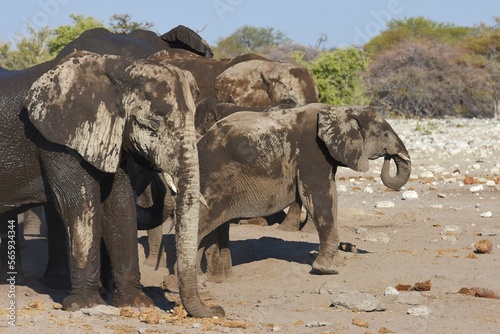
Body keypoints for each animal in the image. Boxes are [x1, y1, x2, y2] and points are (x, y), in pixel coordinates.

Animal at [0, 50, 223, 318]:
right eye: (151, 124)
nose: (218, 310)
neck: (116, 68)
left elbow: (120, 206)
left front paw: (137, 303)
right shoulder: (56, 141)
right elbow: (79, 206)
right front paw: (85, 305)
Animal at [193, 104, 412, 288]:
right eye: (385, 134)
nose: (389, 157)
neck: (340, 111)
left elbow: (332, 197)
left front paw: (333, 263)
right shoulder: (313, 152)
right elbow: (319, 198)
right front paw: (325, 270)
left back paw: (213, 280)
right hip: (216, 177)